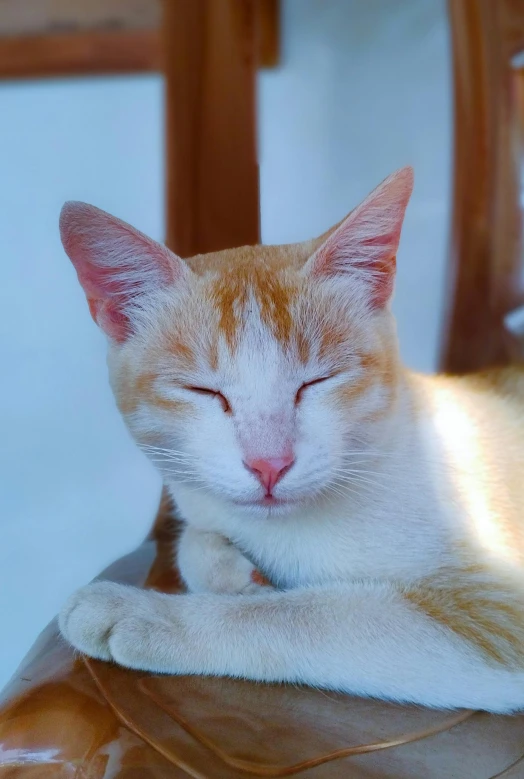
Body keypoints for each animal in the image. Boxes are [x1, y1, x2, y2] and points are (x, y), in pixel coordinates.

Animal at [54, 169, 524, 712]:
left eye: (317, 382)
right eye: (203, 391)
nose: (269, 464)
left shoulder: (497, 610)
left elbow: (314, 618)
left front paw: (146, 613)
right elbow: (196, 536)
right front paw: (229, 569)